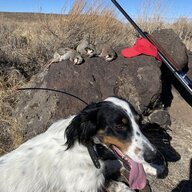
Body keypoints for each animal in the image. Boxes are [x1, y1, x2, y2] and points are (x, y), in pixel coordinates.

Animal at [0, 97, 164, 192]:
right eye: (119, 125)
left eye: (139, 121)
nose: (153, 155)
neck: (84, 144)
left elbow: (114, 163)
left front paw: (154, 167)